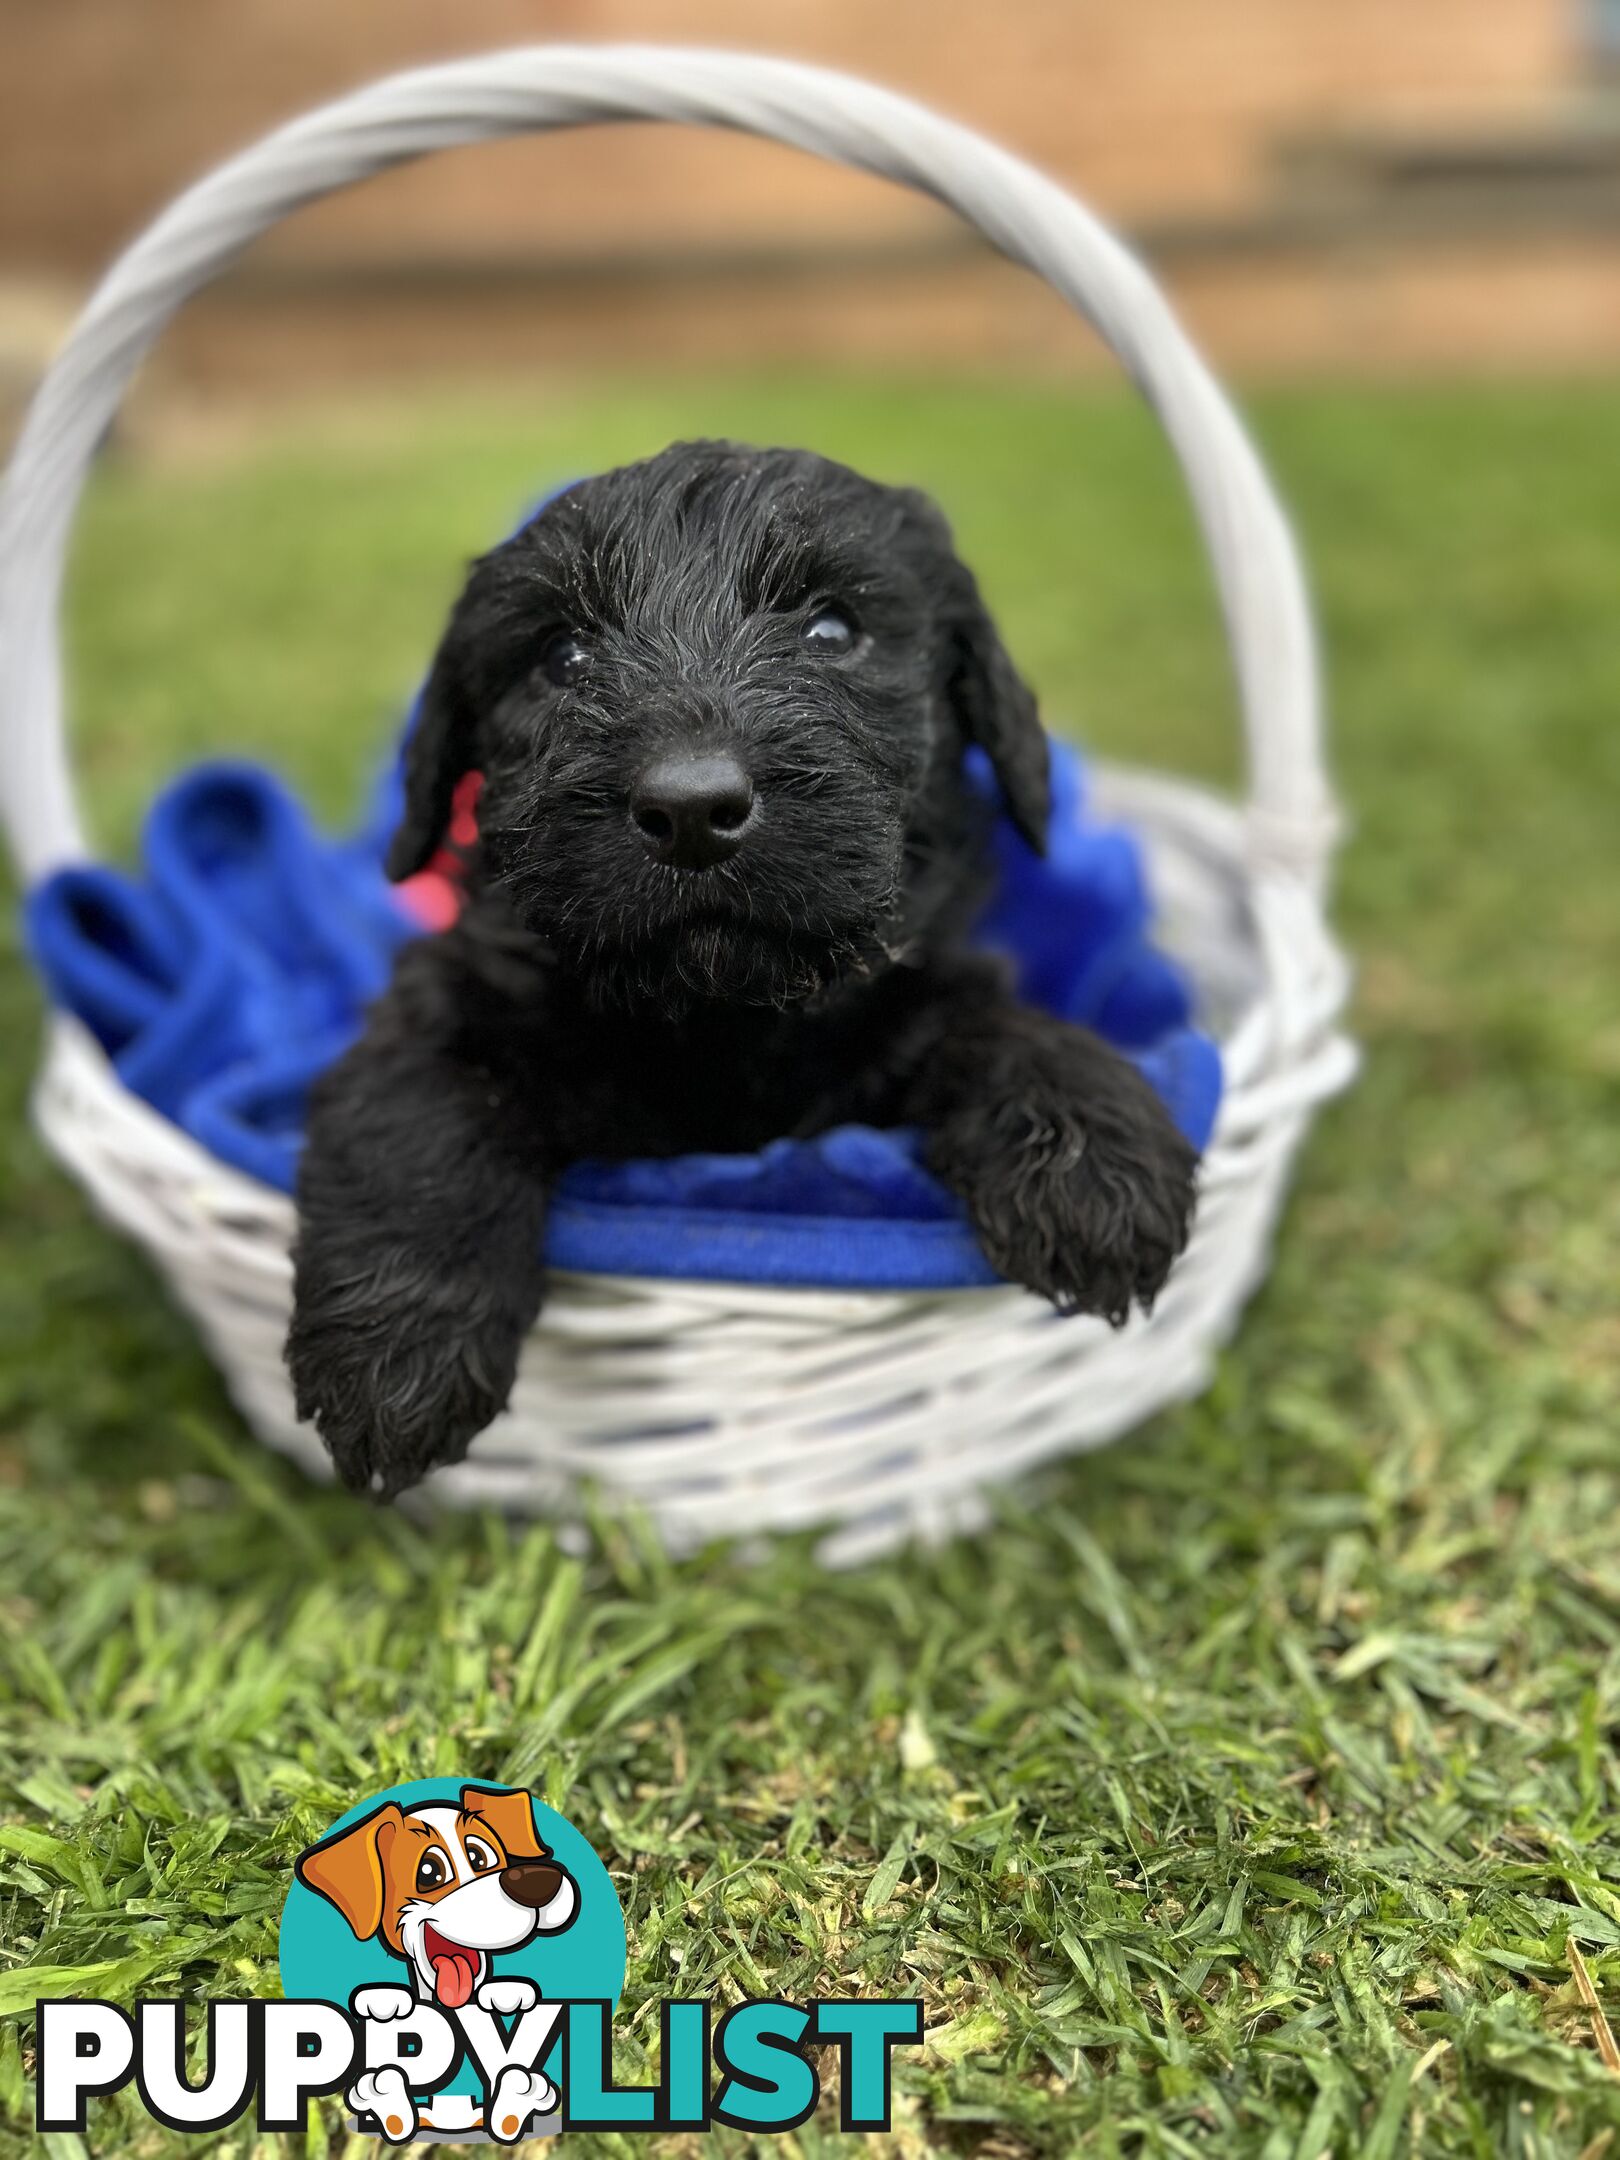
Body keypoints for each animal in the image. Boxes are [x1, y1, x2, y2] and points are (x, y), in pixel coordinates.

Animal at [289, 447, 1209, 1494]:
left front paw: (1092, 1155)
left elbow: (994, 1022)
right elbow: (422, 1112)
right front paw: (397, 1354)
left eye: (834, 629)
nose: (691, 809)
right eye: (561, 656)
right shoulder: (442, 998)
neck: (720, 1015)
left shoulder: (913, 997)